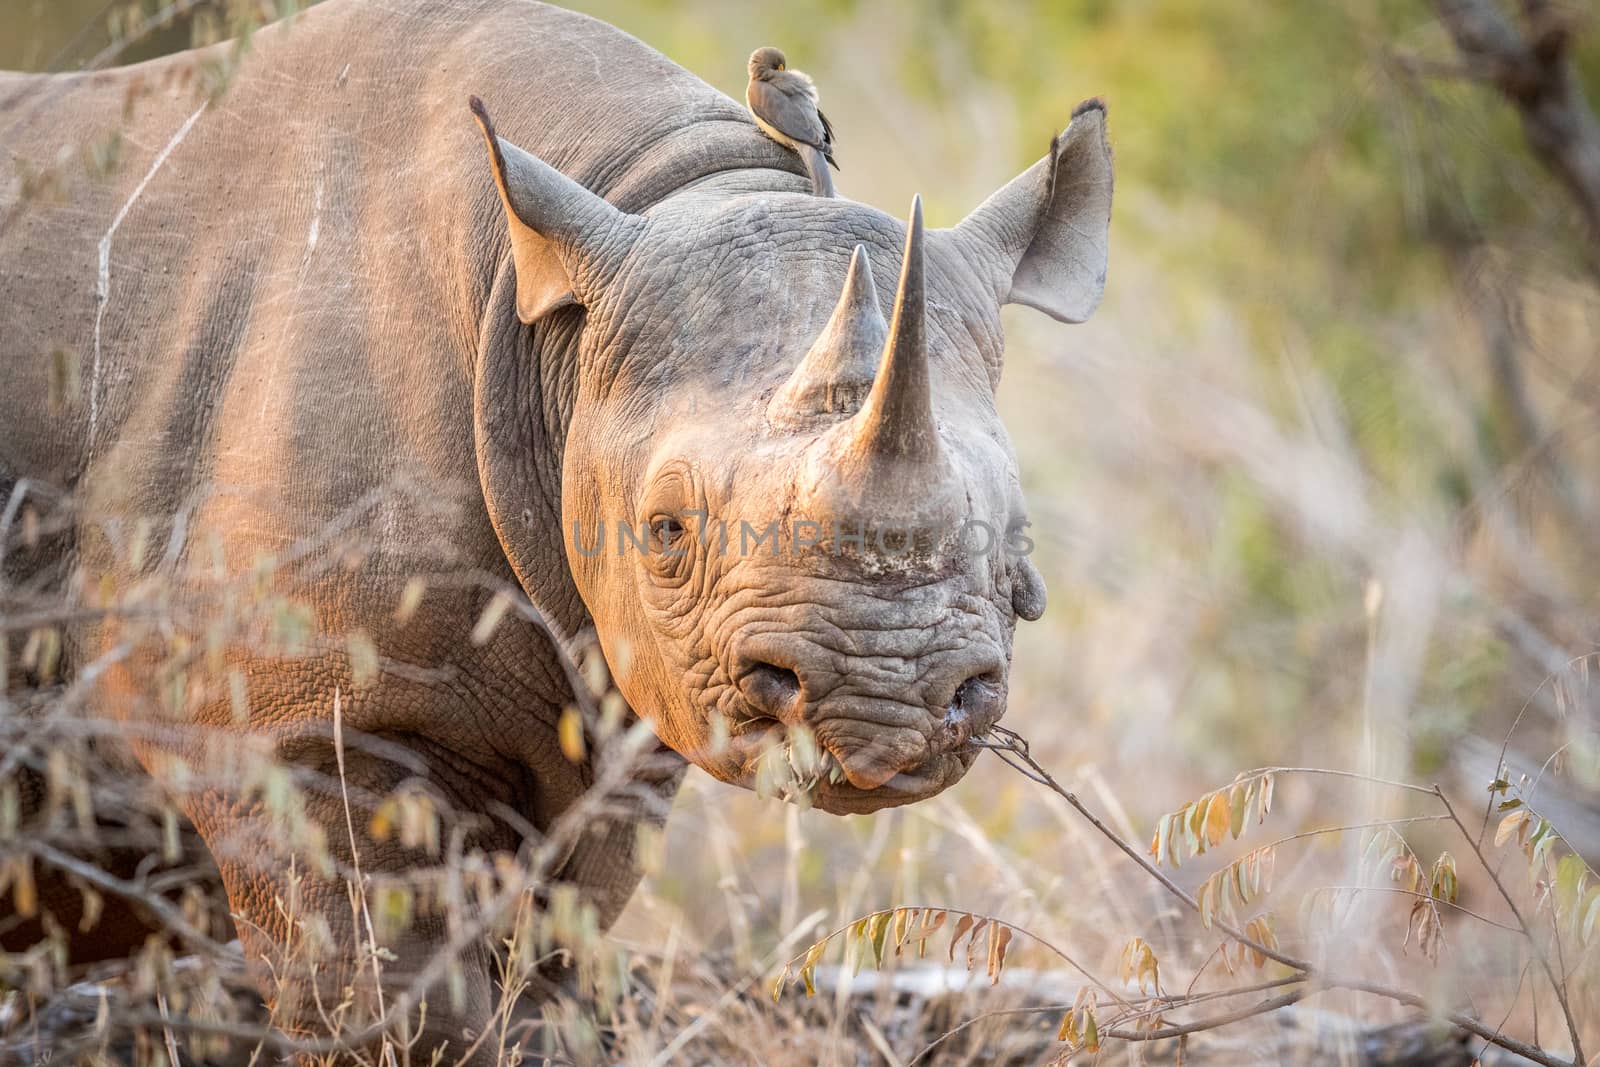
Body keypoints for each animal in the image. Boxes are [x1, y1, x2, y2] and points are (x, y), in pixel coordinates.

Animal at [0, 0, 1113, 1055]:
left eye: (1019, 544)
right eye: (665, 529)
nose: (884, 709)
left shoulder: (617, 717)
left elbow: (540, 965)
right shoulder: (285, 729)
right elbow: (383, 992)